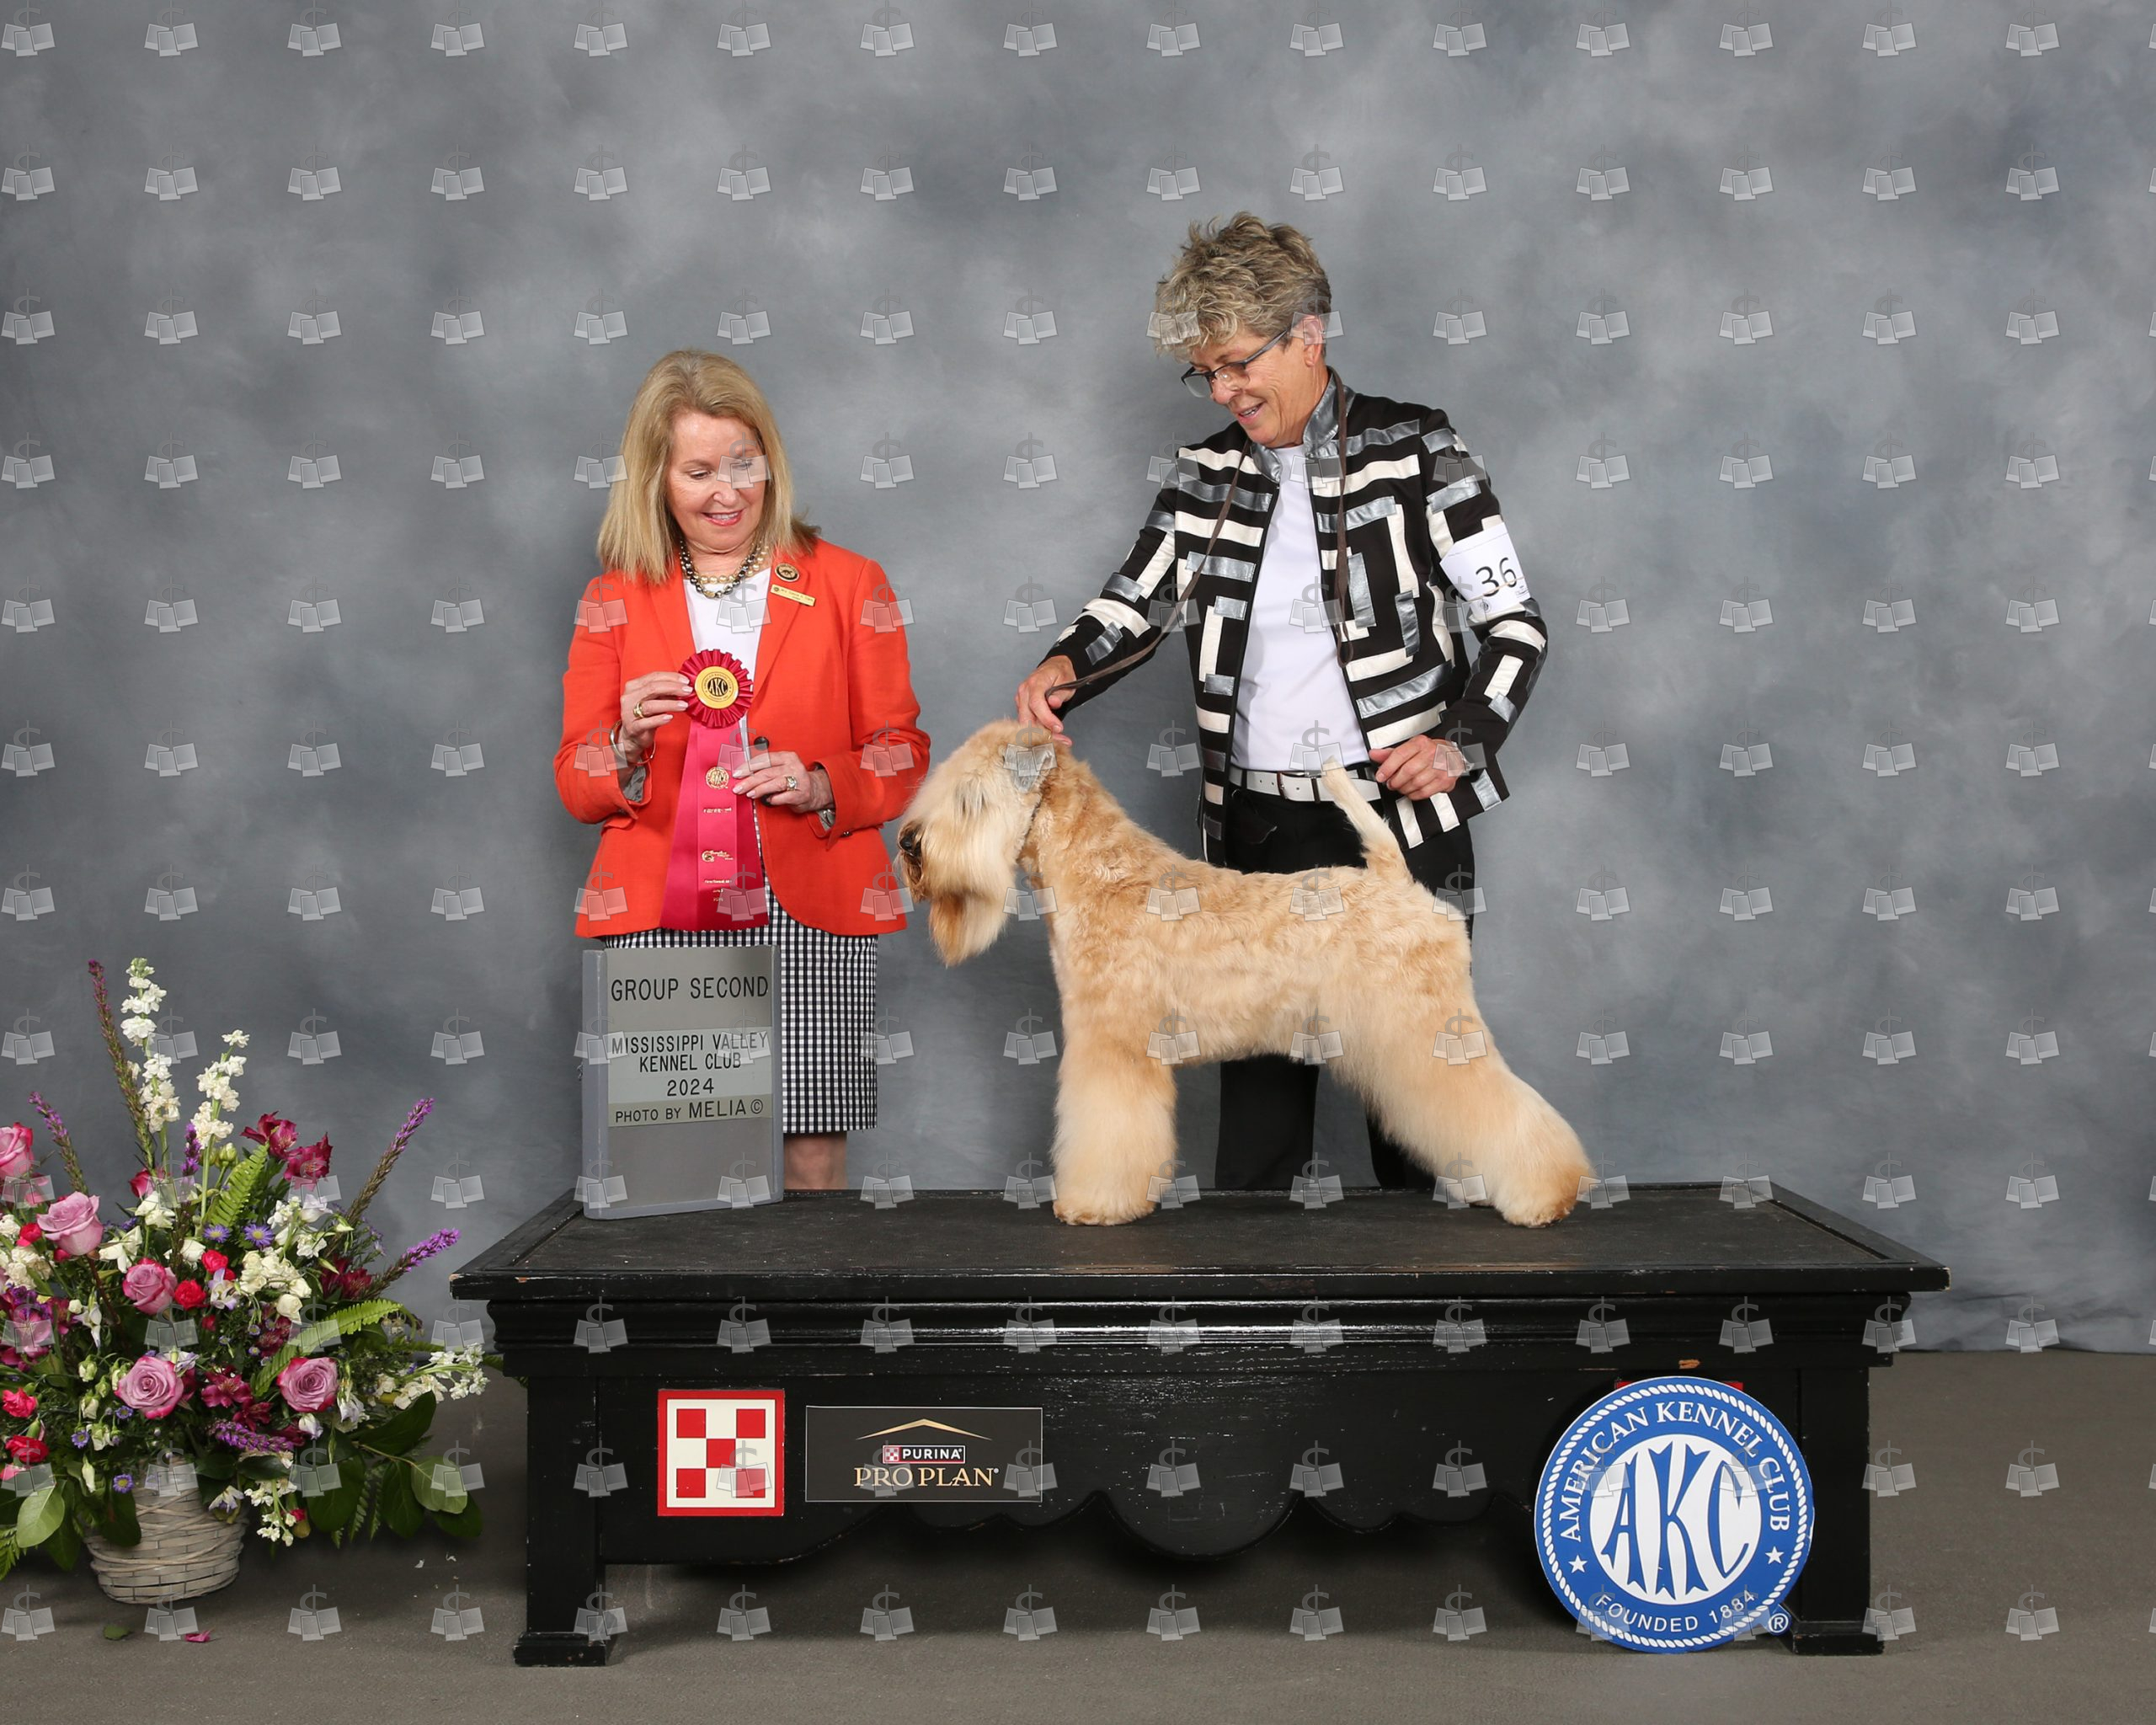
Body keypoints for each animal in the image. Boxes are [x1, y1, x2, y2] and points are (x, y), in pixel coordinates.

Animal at [895, 719, 1592, 1227]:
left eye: (972, 798)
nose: (908, 843)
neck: (1101, 874)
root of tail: (1399, 883)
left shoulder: (1112, 1045)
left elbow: (1104, 1127)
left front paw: (1093, 1204)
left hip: (1427, 1032)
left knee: (1499, 1104)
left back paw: (1543, 1195)